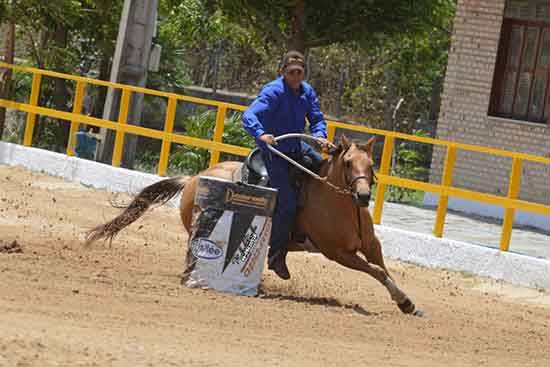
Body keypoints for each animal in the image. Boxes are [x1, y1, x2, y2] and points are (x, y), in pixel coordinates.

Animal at [88, 136, 420, 316]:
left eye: (371, 165)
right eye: (349, 164)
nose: (362, 196)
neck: (340, 204)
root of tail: (193, 178)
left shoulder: (371, 246)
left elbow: (383, 269)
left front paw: (407, 302)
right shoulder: (338, 253)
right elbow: (377, 272)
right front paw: (403, 300)